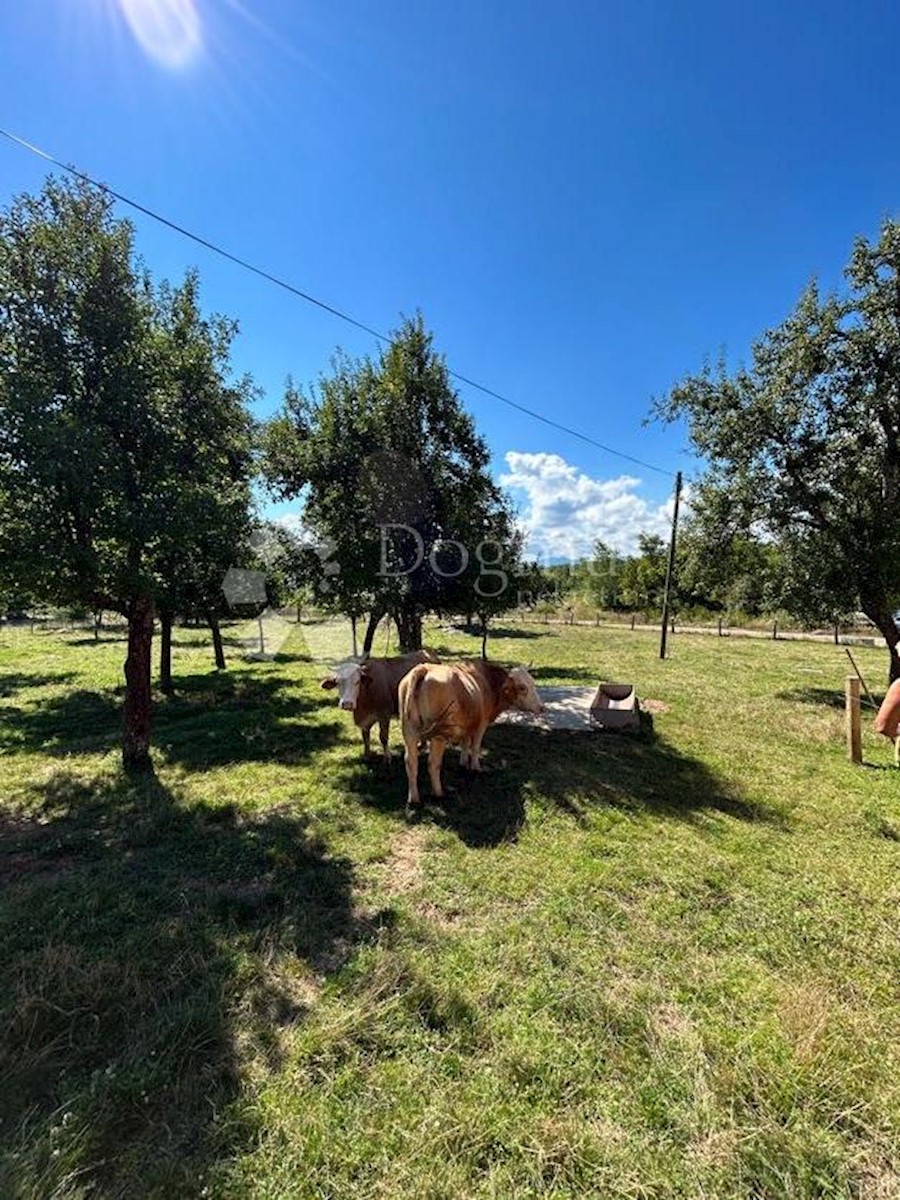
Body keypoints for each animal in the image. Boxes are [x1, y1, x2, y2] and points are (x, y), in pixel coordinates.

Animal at [400, 662, 542, 811]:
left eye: (533, 683)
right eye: (522, 687)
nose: (542, 707)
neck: (487, 682)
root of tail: (425, 668)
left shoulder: (467, 726)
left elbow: (465, 743)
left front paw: (463, 764)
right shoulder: (481, 725)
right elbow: (475, 747)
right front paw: (475, 767)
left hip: (409, 731)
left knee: (411, 763)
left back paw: (414, 799)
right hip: (439, 735)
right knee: (433, 763)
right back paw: (439, 793)